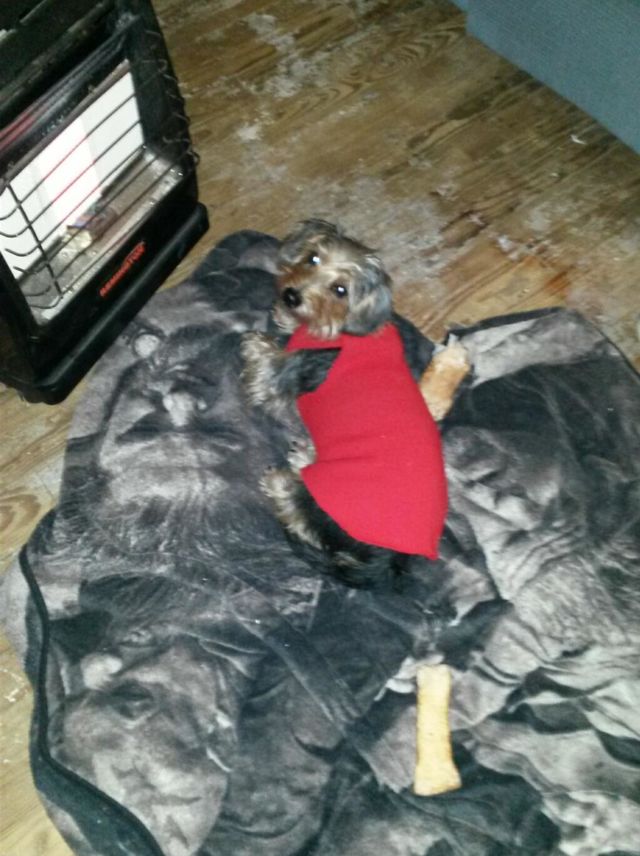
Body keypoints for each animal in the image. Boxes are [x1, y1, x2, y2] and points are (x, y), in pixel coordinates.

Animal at [241, 219, 469, 586]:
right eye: (313, 258)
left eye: (340, 290)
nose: (291, 295)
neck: (346, 328)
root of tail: (388, 559)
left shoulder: (280, 373)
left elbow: (265, 362)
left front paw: (259, 340)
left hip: (321, 498)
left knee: (299, 513)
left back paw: (282, 480)